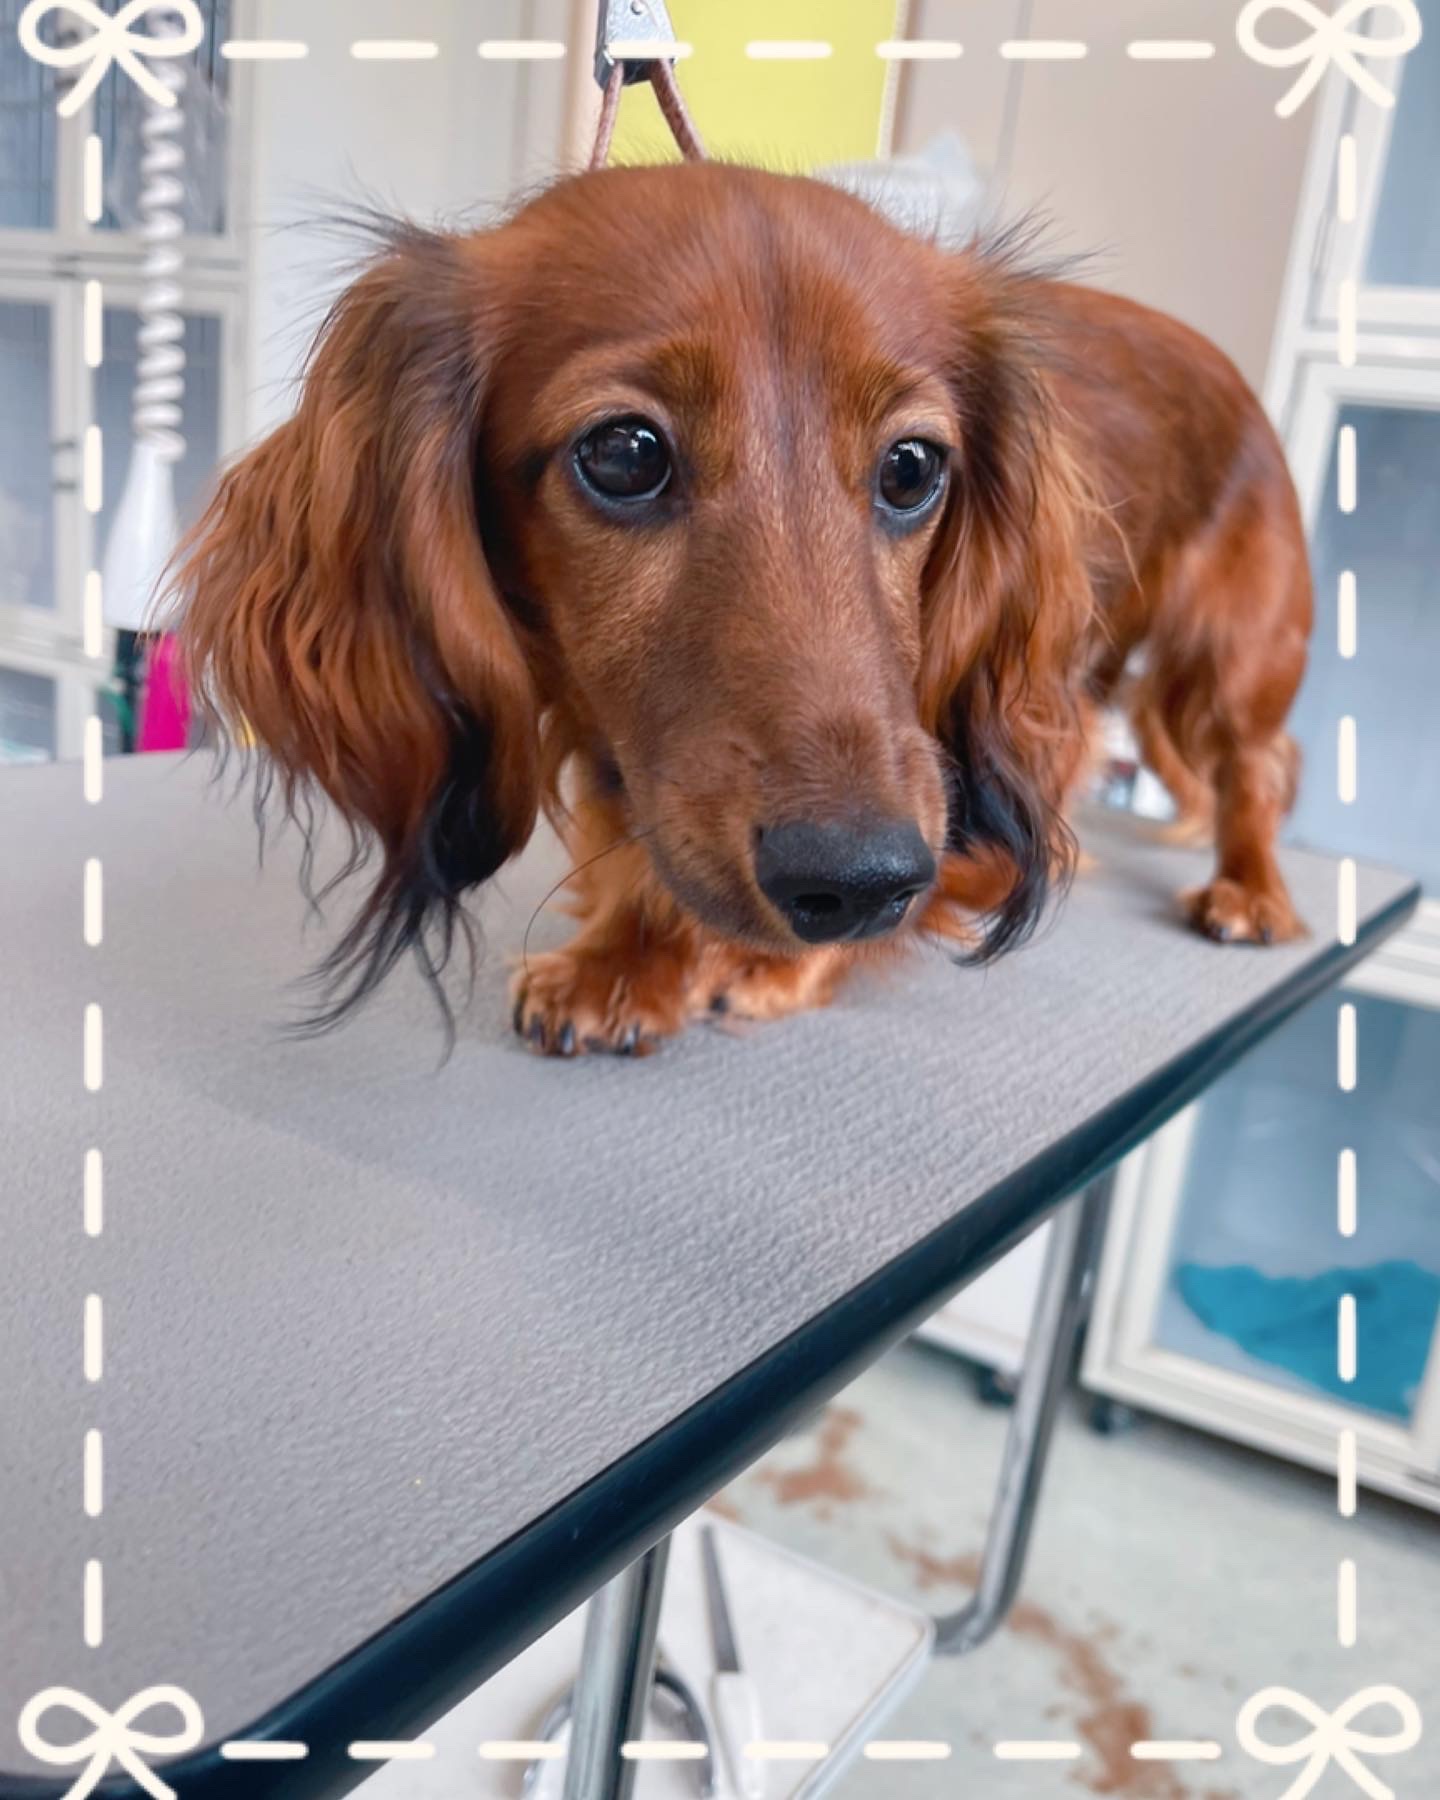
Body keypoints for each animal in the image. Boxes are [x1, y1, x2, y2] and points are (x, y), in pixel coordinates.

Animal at [177, 163, 1311, 1056]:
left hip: (1231, 656)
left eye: (912, 467)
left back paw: (1253, 890)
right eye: (624, 452)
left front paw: (763, 963)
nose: (860, 882)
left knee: (1258, 768)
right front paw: (625, 960)